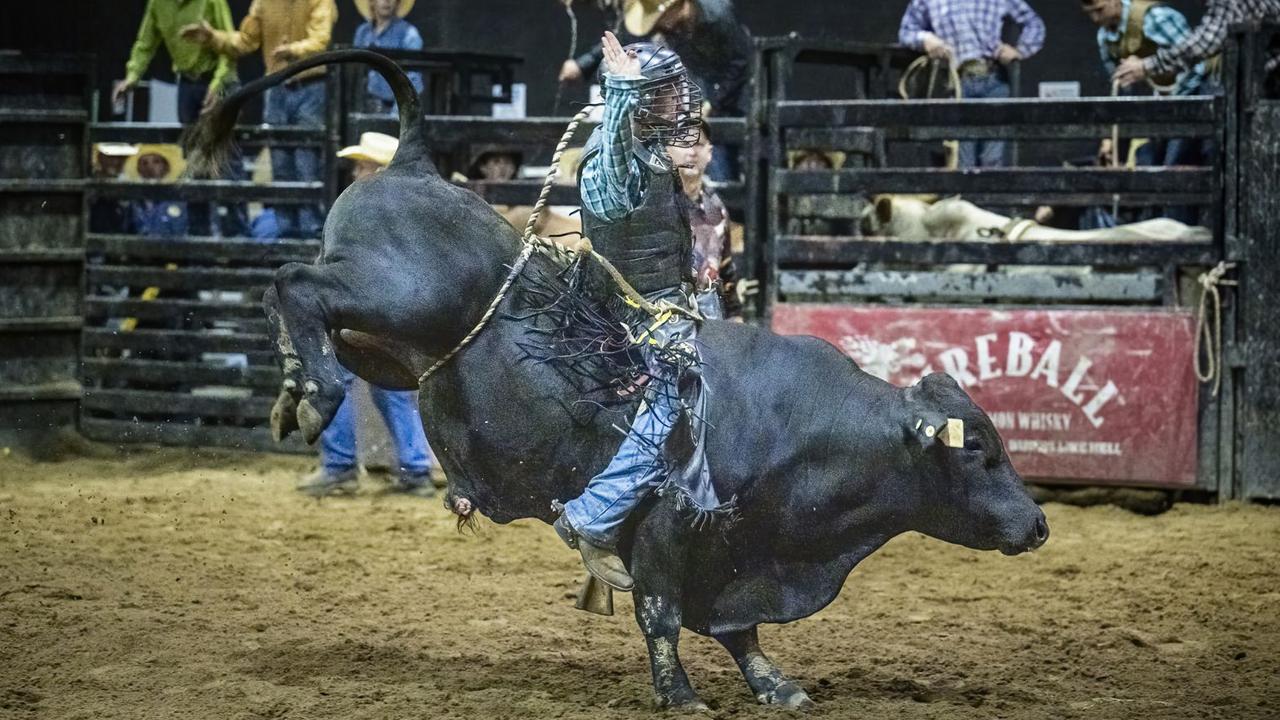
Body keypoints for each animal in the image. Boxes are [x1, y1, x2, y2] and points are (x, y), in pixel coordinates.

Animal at [189, 50, 1049, 707]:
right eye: (980, 454)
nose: (1039, 525)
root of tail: (411, 164)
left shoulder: (737, 551)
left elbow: (739, 629)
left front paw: (774, 684)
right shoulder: (669, 527)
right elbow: (662, 614)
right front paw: (679, 695)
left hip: (386, 341)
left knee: (305, 304)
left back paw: (294, 388)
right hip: (396, 295)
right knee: (295, 282)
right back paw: (315, 394)